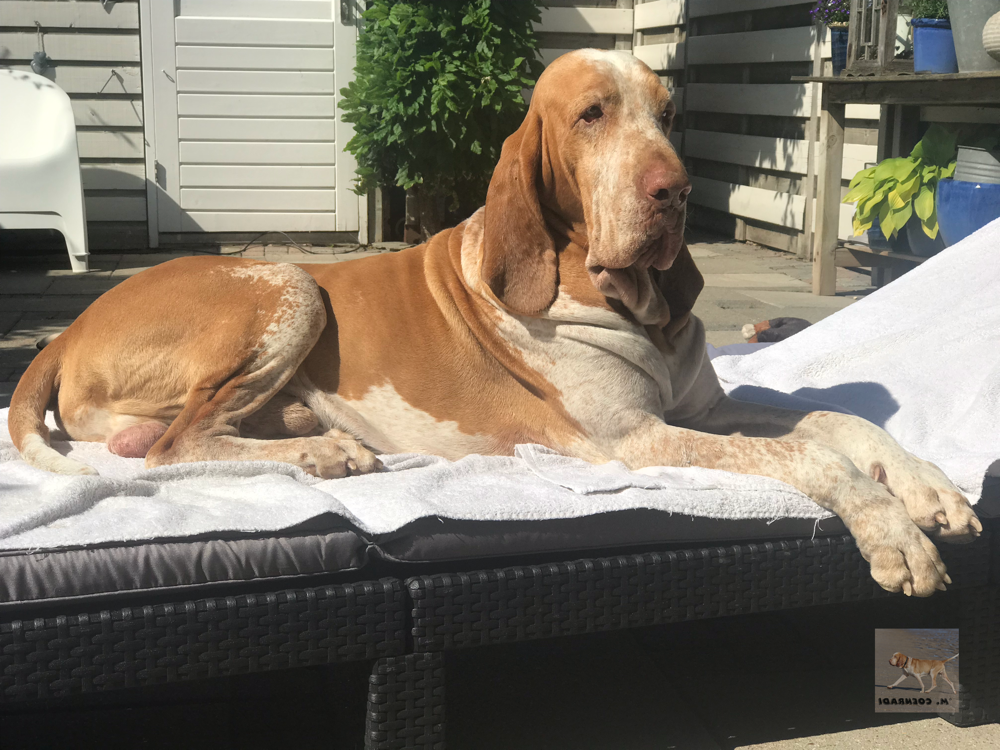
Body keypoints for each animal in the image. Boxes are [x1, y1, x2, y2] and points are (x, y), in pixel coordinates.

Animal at [9, 48, 976, 600]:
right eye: (591, 116)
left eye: (667, 115)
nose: (673, 192)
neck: (629, 302)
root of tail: (68, 330)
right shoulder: (638, 440)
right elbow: (813, 458)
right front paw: (893, 533)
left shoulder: (702, 413)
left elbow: (836, 420)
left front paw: (928, 489)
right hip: (289, 284)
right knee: (174, 446)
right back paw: (325, 454)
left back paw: (307, 436)